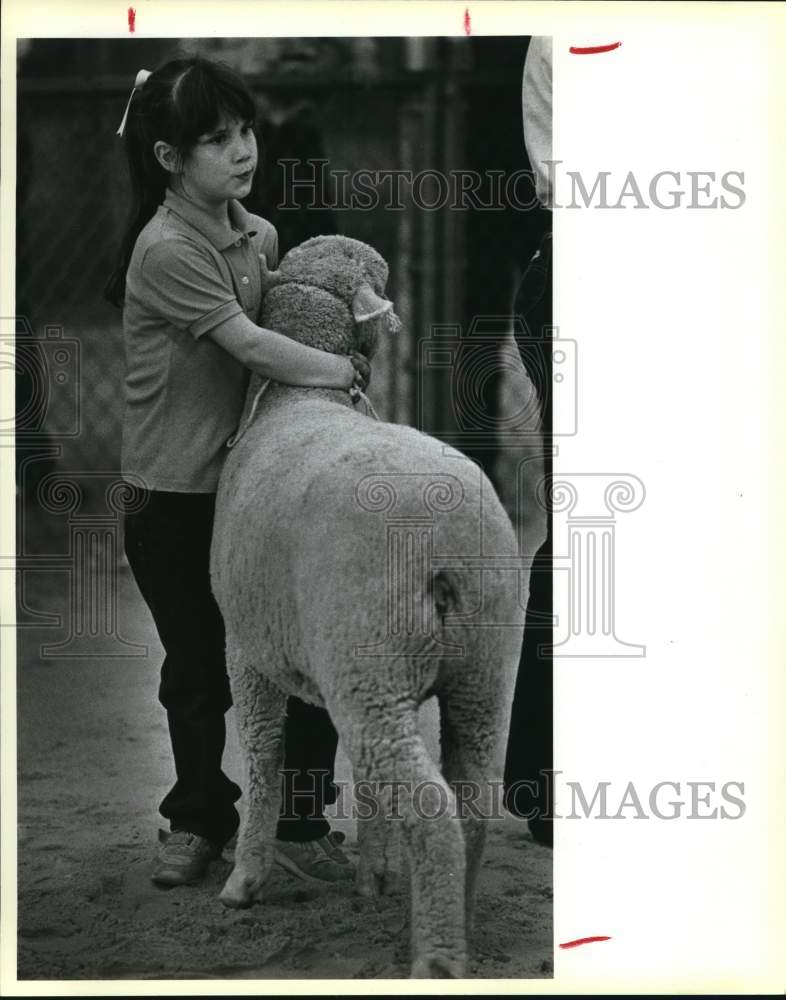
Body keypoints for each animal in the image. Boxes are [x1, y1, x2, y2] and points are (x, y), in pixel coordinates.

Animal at [208, 232, 528, 976]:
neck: (297, 397)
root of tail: (448, 544)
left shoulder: (248, 645)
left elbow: (263, 754)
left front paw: (245, 882)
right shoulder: (346, 669)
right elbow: (363, 785)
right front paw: (375, 876)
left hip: (370, 653)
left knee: (434, 812)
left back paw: (436, 958)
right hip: (472, 664)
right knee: (472, 799)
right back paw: (457, 919)